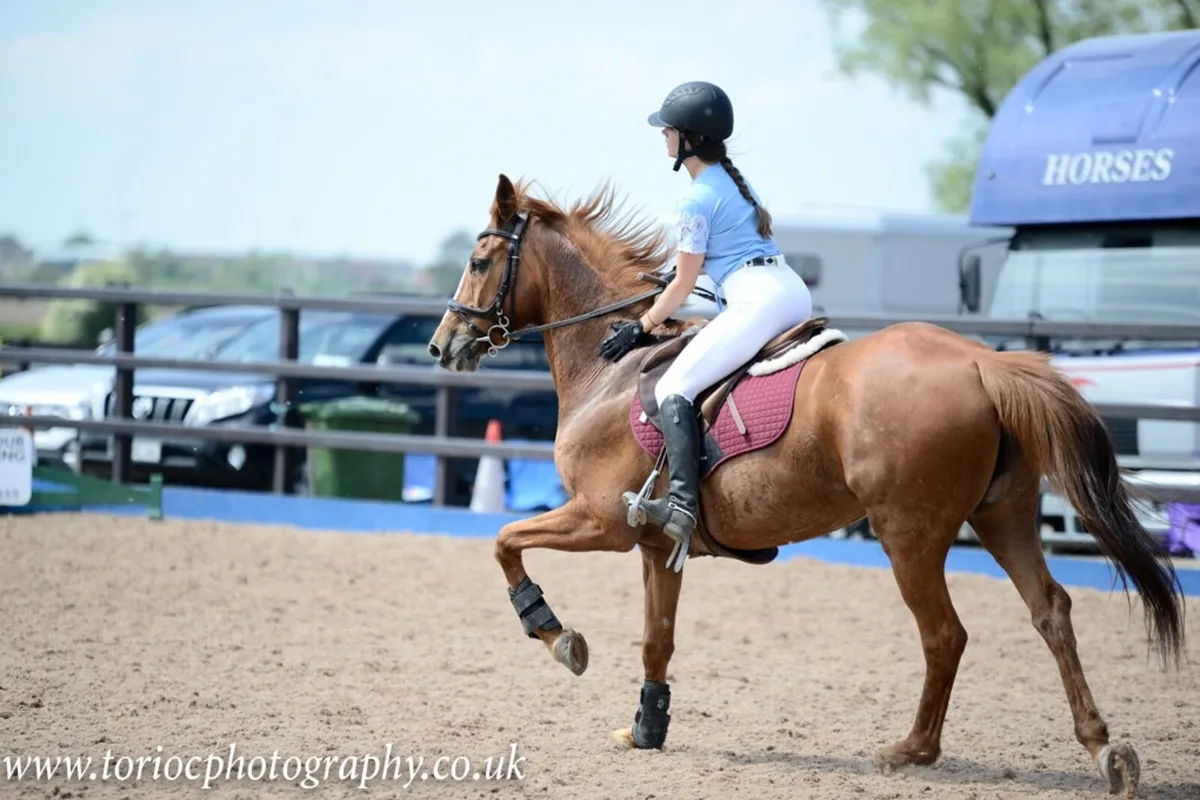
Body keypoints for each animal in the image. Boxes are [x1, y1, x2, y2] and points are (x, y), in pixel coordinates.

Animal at [425, 173, 1187, 797]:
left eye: (478, 262)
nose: (441, 346)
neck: (613, 369)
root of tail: (981, 362)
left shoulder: (601, 521)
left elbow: (504, 541)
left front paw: (556, 636)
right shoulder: (655, 546)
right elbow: (657, 639)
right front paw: (646, 730)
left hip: (908, 535)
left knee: (944, 634)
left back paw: (911, 750)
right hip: (1003, 517)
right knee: (1050, 611)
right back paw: (1104, 750)